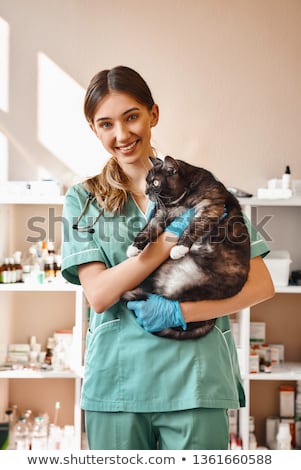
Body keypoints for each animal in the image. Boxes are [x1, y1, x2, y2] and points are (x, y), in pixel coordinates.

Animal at [120, 156, 250, 340]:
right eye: (146, 181)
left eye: (156, 182)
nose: (146, 191)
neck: (181, 200)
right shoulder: (160, 216)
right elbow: (147, 230)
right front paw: (134, 248)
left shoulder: (210, 208)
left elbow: (193, 227)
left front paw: (179, 248)